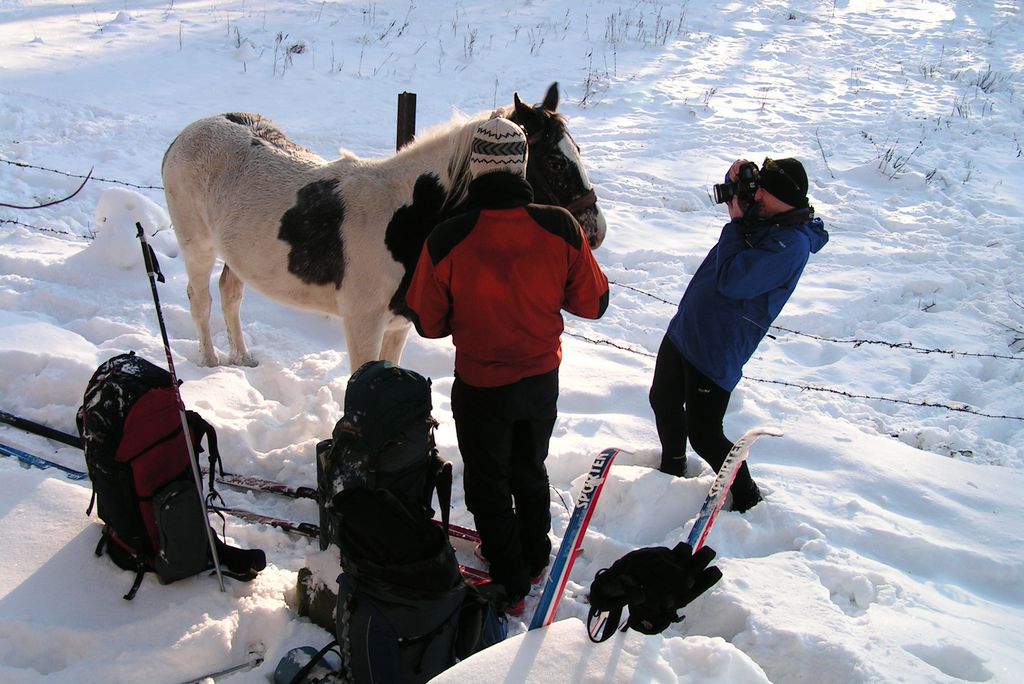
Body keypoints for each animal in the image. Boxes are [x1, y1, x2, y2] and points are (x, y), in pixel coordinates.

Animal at [162, 83, 602, 370]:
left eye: (577, 151)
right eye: (555, 161)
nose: (596, 229)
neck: (402, 216)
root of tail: (188, 132)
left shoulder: (398, 324)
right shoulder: (363, 323)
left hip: (236, 254)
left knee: (230, 295)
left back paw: (242, 358)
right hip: (197, 245)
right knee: (201, 300)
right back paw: (210, 361)